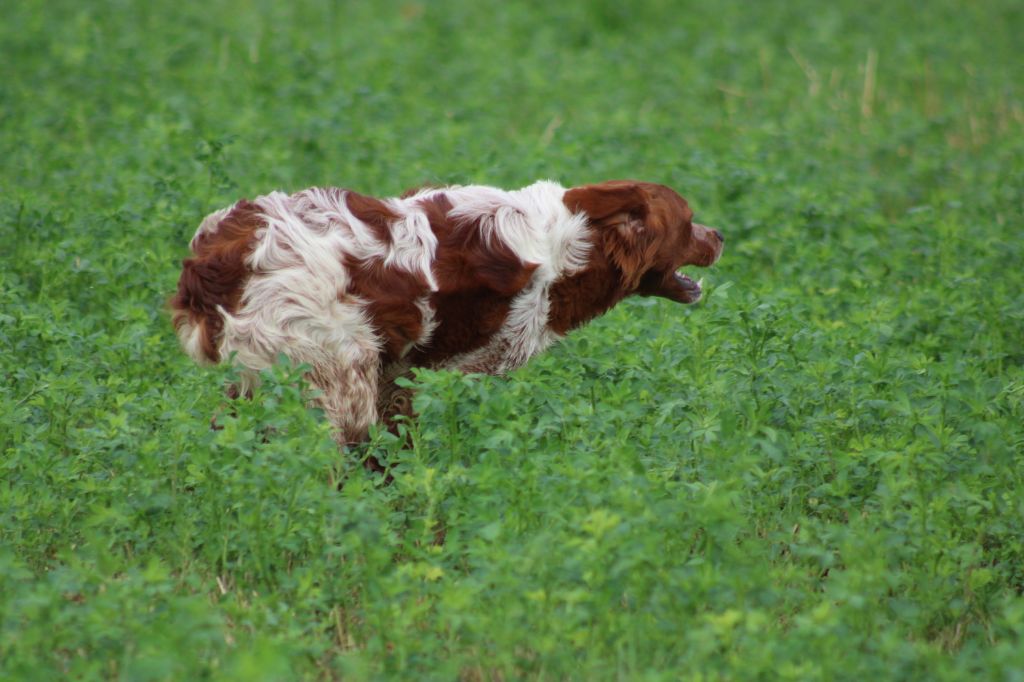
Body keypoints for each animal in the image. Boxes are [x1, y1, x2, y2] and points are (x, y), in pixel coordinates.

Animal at [169, 180, 720, 456]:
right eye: (690, 221)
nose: (719, 236)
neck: (573, 241)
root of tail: (214, 260)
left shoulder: (395, 374)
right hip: (334, 374)